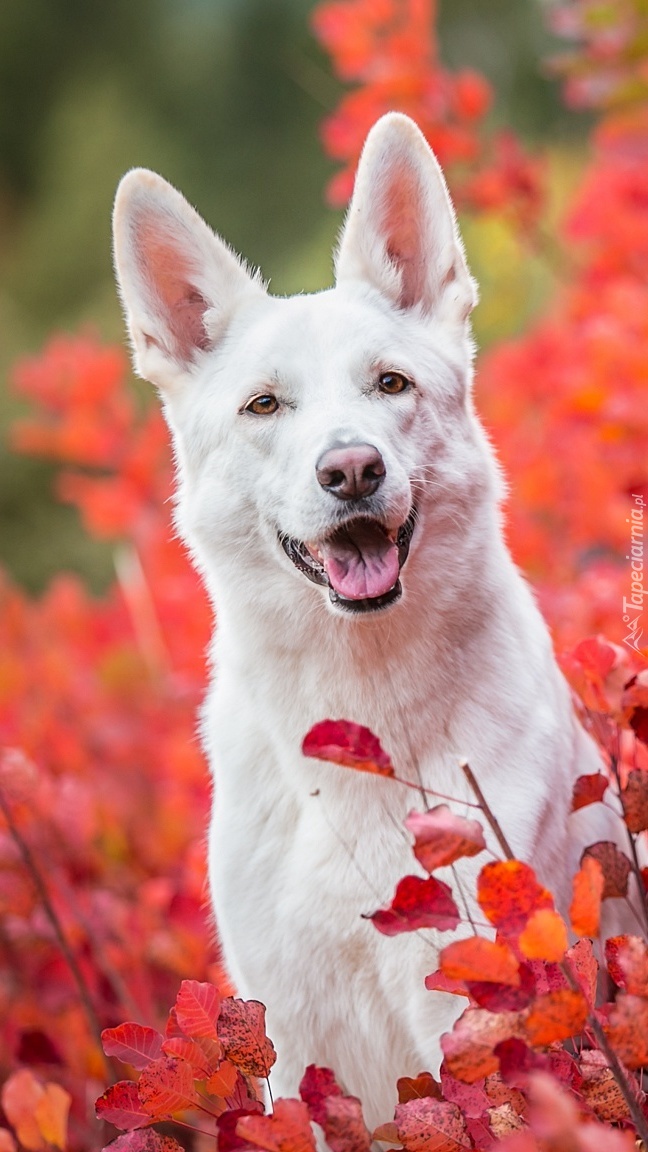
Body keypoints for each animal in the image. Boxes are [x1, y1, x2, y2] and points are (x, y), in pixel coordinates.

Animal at [114, 114, 604, 1124]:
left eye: (390, 385)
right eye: (264, 405)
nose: (351, 470)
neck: (357, 726)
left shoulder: (473, 1012)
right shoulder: (295, 1044)